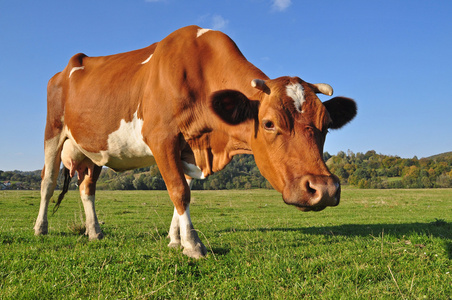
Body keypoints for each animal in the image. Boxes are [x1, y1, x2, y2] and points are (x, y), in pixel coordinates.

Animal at [34, 25, 356, 258]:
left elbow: (185, 191)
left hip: (94, 150)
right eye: (269, 123)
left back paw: (94, 231)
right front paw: (192, 245)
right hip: (53, 132)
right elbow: (179, 191)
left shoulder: (189, 149)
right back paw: (41, 228)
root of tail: (71, 65)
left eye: (326, 125)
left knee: (87, 188)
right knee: (47, 182)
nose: (325, 189)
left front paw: (175, 240)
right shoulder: (161, 137)